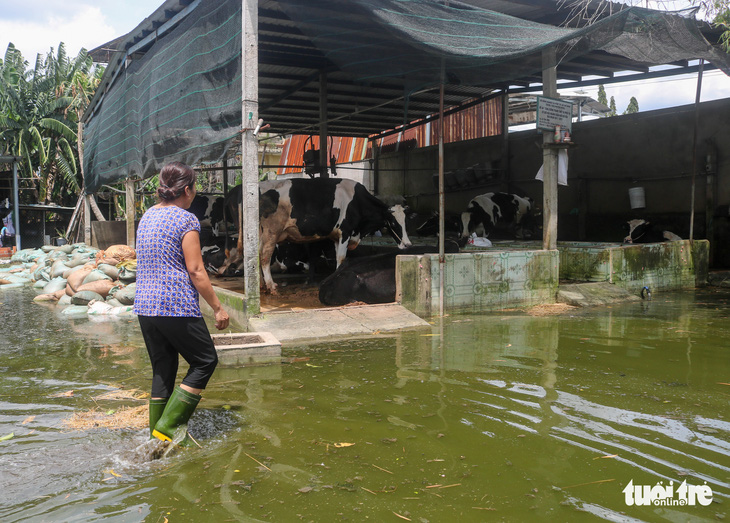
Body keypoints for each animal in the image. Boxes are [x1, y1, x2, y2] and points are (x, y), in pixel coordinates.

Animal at [219, 179, 410, 294]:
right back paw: (271, 286)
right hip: (271, 232)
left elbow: (336, 257)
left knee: (255, 255)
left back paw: (260, 284)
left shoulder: (336, 236)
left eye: (407, 220)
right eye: (393, 223)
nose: (407, 245)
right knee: (265, 256)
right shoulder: (345, 231)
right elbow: (341, 257)